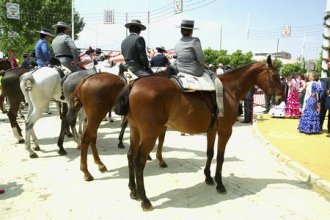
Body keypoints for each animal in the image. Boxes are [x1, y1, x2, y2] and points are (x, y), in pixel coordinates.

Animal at [115, 54, 282, 210]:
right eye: (275, 76)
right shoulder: (225, 131)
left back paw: (133, 190)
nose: (280, 99)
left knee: (130, 156)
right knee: (139, 161)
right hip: (150, 134)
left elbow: (210, 154)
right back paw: (145, 200)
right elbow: (220, 157)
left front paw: (208, 177)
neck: (229, 89)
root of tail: (133, 83)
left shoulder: (212, 131)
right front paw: (219, 183)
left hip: (135, 131)